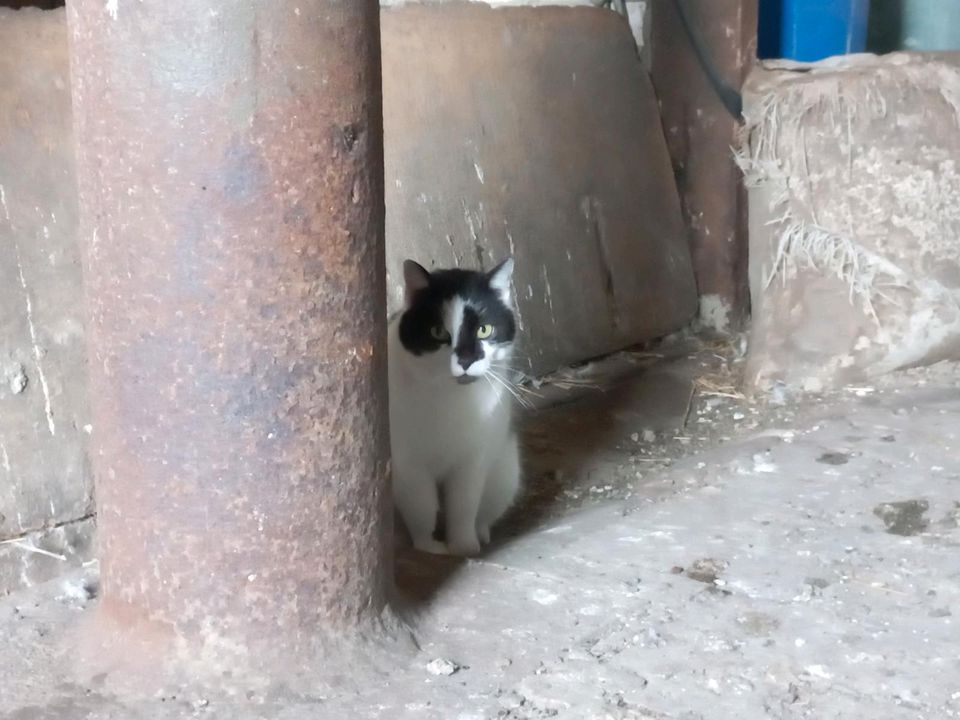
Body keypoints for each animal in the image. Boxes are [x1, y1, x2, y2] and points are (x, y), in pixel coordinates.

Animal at [388, 258, 520, 556]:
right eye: (438, 331)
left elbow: (464, 505)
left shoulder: (473, 460)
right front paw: (429, 546)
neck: (451, 398)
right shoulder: (408, 464)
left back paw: (481, 534)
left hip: (506, 469)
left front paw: (464, 545)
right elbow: (421, 506)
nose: (466, 360)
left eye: (484, 329)